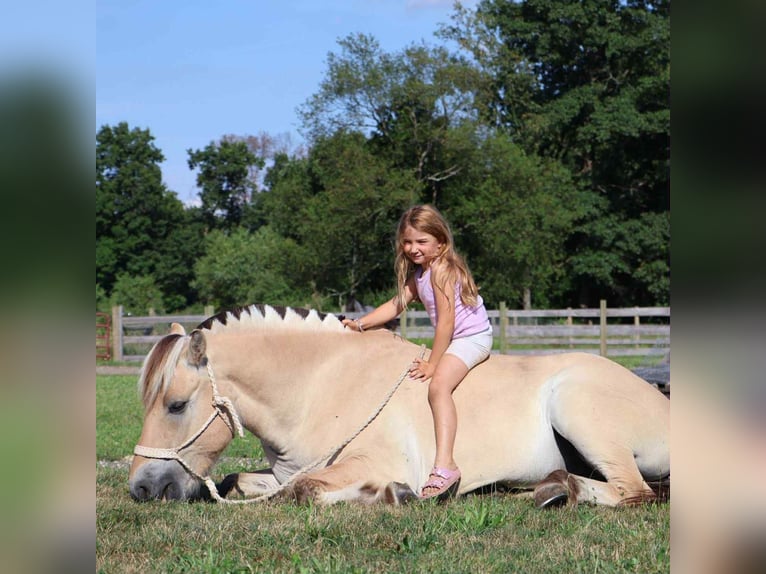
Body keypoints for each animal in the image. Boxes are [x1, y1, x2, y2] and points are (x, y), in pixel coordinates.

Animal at [129, 304, 669, 507]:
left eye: (176, 405)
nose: (141, 488)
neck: (320, 388)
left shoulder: (368, 462)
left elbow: (305, 491)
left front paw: (394, 494)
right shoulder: (280, 472)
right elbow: (239, 481)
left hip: (576, 409)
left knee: (634, 491)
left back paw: (560, 492)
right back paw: (548, 488)